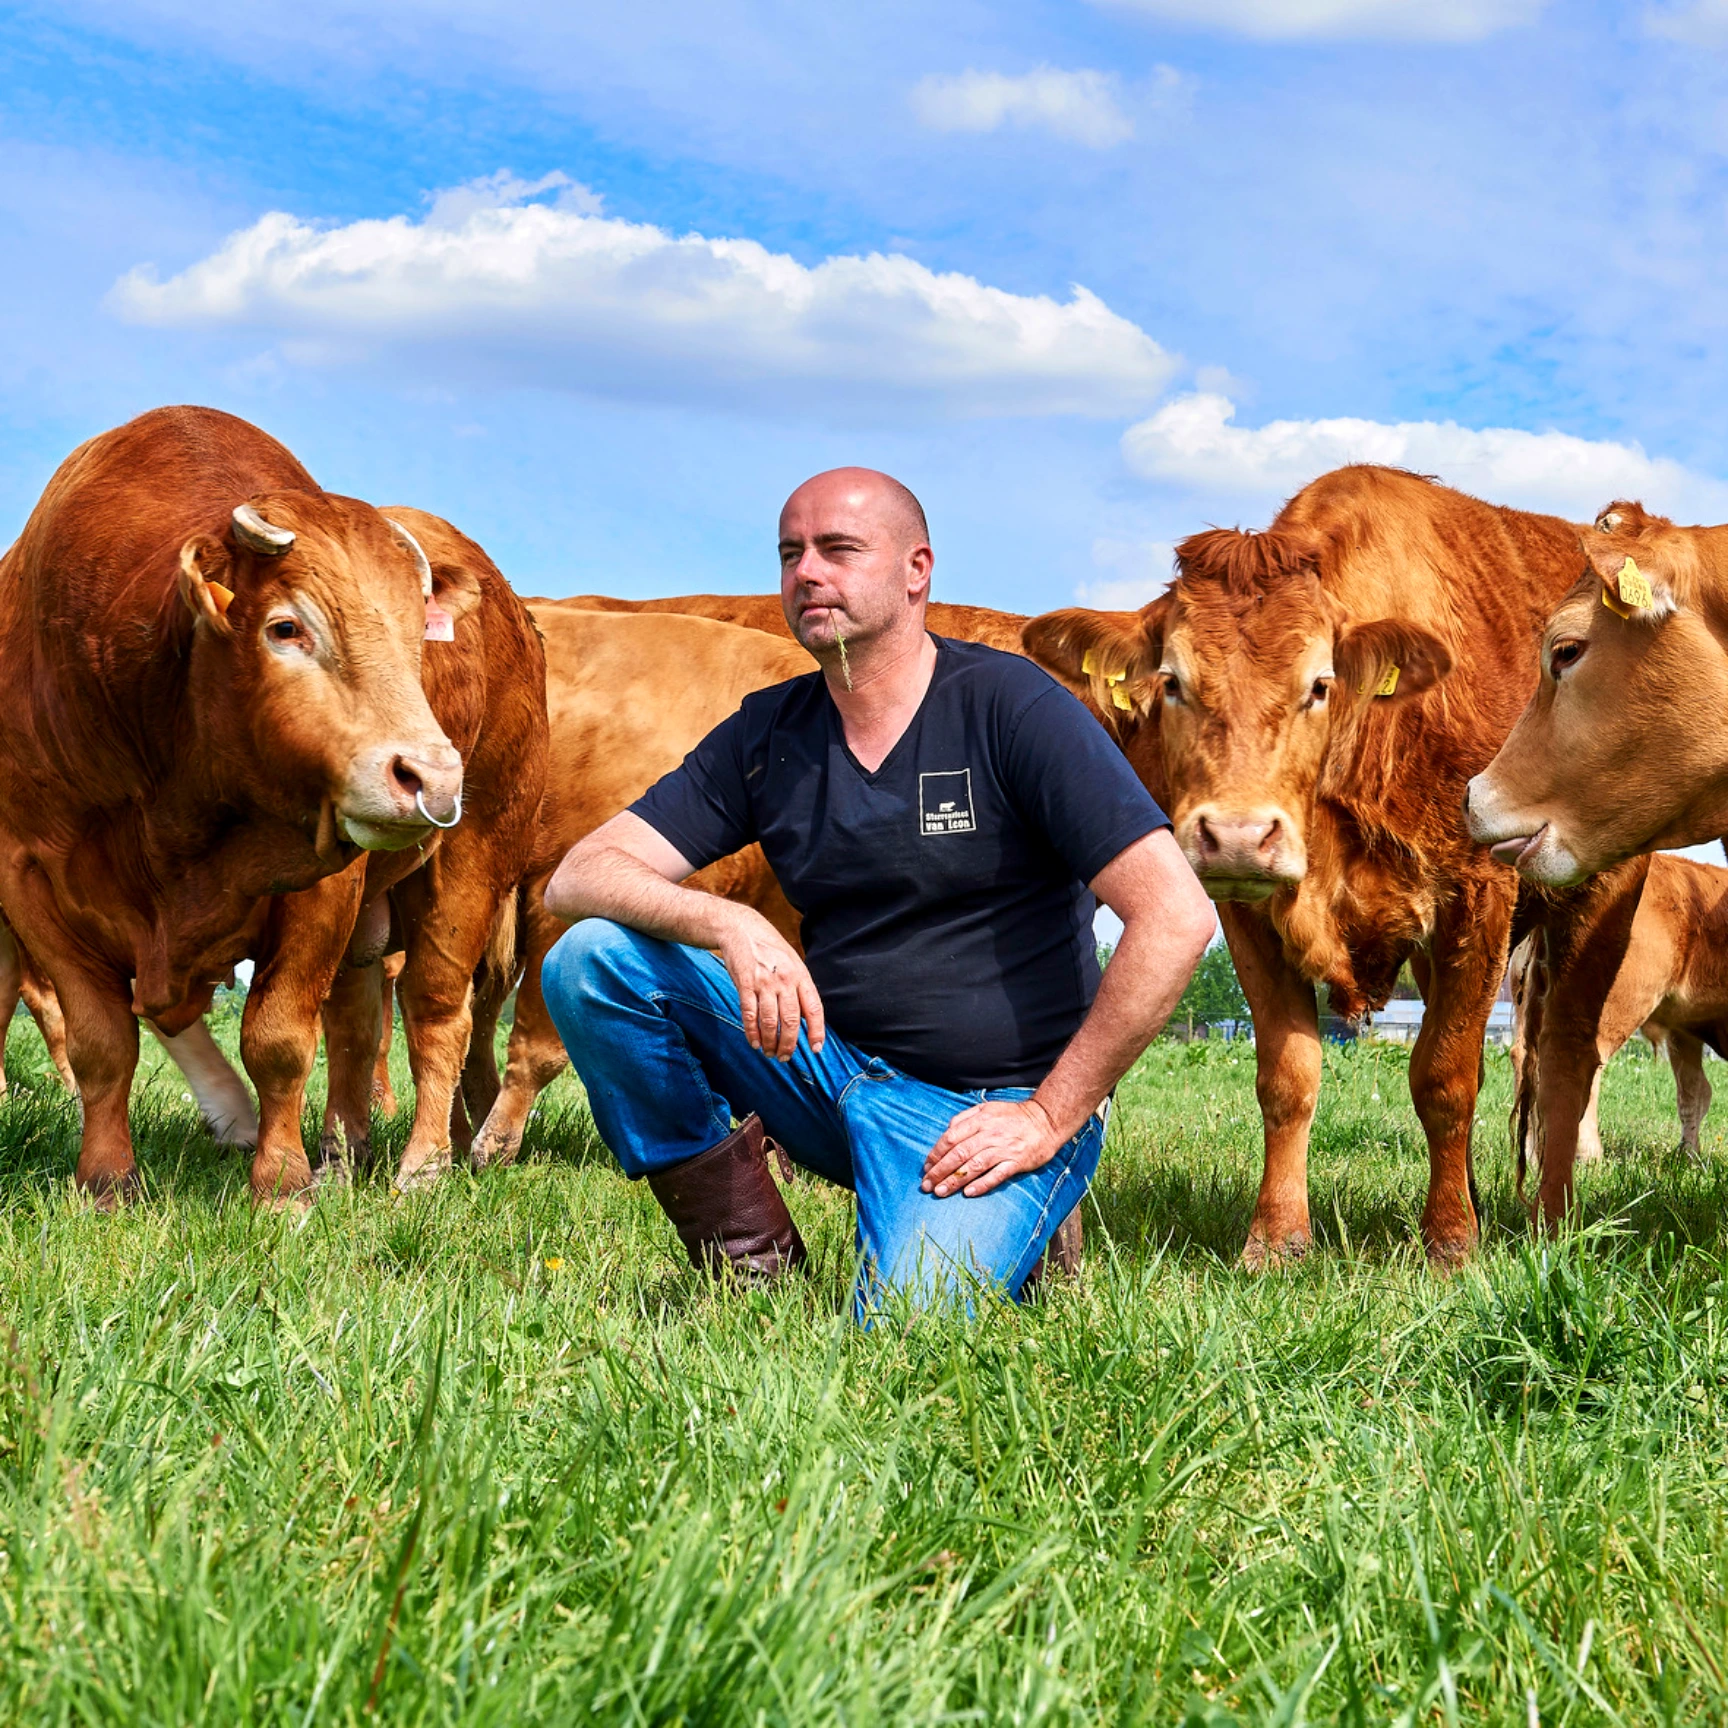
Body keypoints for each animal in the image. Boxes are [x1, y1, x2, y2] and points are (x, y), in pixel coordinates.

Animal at [0, 406, 463, 1206]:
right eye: (286, 627)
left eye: (415, 639)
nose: (430, 777)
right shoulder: (28, 876)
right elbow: (99, 1040)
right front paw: (106, 1178)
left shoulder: (323, 879)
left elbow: (278, 1038)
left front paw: (282, 1182)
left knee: (427, 1016)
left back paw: (412, 1161)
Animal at [1023, 465, 1589, 1268]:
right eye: (1171, 682)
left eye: (1319, 684)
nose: (1236, 834)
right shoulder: (1246, 912)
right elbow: (1288, 1077)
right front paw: (1277, 1237)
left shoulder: (1480, 895)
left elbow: (1446, 1077)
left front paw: (1451, 1241)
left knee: (1566, 1065)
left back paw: (1547, 1216)